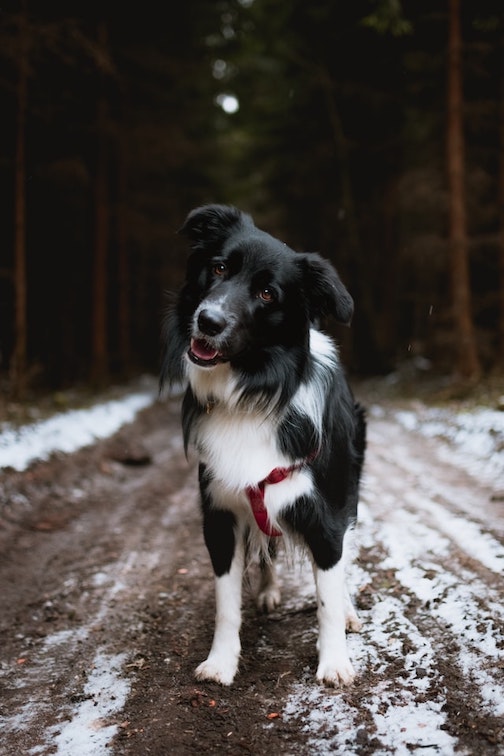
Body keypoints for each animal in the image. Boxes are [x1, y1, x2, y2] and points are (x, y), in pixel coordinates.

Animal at [162, 205, 366, 684]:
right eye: (219, 268)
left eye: (268, 294)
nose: (208, 321)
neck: (253, 392)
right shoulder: (220, 512)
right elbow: (226, 603)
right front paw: (221, 662)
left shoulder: (326, 513)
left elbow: (328, 595)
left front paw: (335, 662)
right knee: (266, 547)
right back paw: (270, 591)